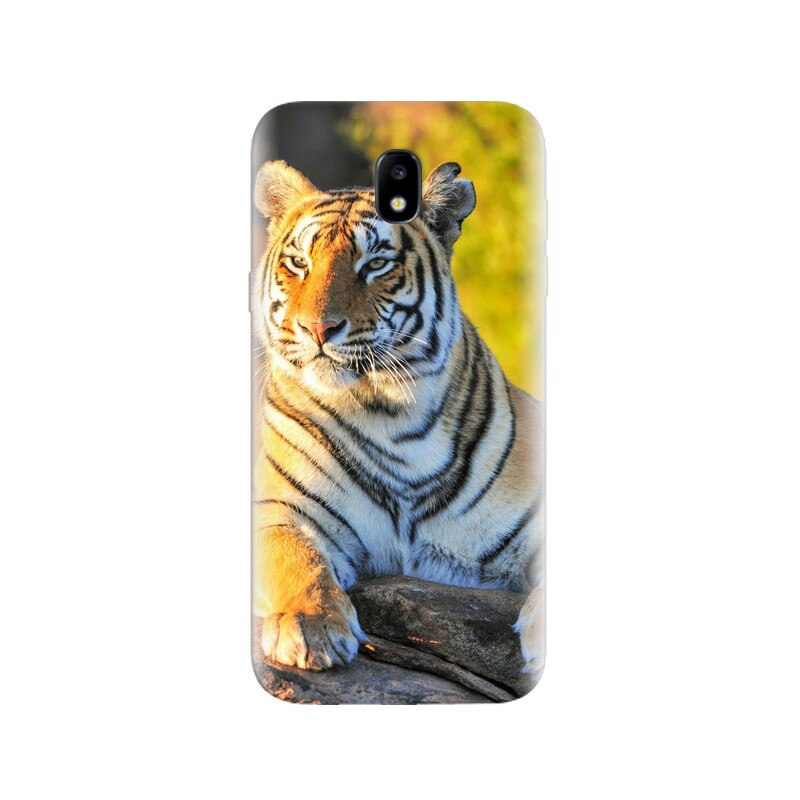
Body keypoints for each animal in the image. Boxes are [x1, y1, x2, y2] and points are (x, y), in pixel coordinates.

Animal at [252, 159, 544, 681]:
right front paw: (310, 627)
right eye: (299, 263)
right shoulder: (279, 509)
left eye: (375, 264)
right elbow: (295, 559)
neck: (388, 415)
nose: (317, 328)